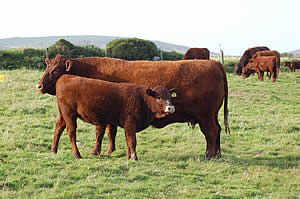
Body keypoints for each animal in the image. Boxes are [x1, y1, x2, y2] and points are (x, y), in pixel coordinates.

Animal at [37, 53, 230, 159]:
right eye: (47, 67)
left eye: (55, 70)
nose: (39, 86)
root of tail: (215, 63)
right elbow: (110, 132)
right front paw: (109, 150)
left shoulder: (102, 116)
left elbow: (102, 132)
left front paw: (97, 151)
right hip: (211, 116)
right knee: (217, 130)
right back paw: (217, 154)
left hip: (205, 117)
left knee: (211, 132)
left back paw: (209, 155)